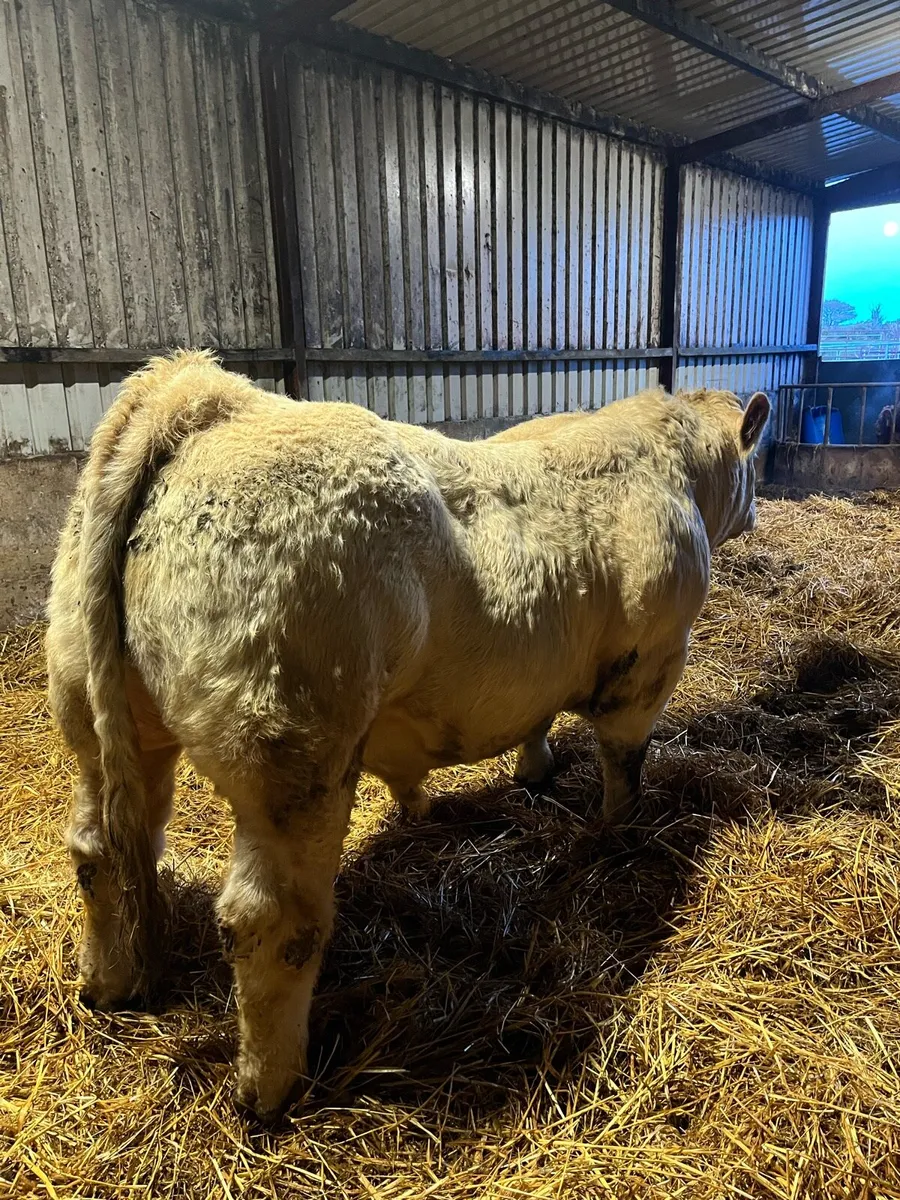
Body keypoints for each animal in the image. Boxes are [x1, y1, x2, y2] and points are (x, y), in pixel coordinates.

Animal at [46, 351, 769, 1120]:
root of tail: (207, 402)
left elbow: (537, 719)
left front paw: (536, 769)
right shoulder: (651, 661)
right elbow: (623, 761)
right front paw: (620, 830)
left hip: (97, 717)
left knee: (99, 848)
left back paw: (106, 983)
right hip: (291, 758)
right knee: (272, 920)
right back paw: (271, 1086)